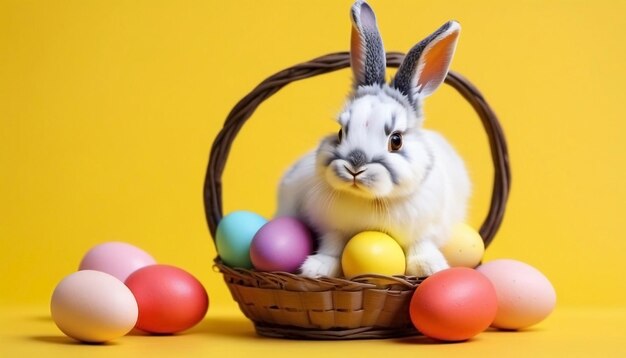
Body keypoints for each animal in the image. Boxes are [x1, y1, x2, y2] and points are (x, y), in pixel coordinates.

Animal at [278, 0, 468, 278]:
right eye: (341, 132)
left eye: (396, 140)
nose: (355, 167)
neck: (371, 201)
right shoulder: (331, 229)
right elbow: (332, 246)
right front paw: (316, 268)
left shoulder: (426, 229)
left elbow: (421, 244)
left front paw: (429, 267)